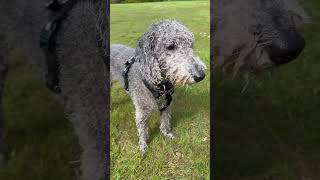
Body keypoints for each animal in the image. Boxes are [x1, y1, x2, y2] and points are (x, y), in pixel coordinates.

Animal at [110, 20, 205, 153]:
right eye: (170, 46)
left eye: (191, 45)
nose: (201, 75)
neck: (160, 85)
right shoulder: (142, 110)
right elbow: (142, 129)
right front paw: (143, 146)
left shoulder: (167, 104)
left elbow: (165, 121)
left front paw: (167, 134)